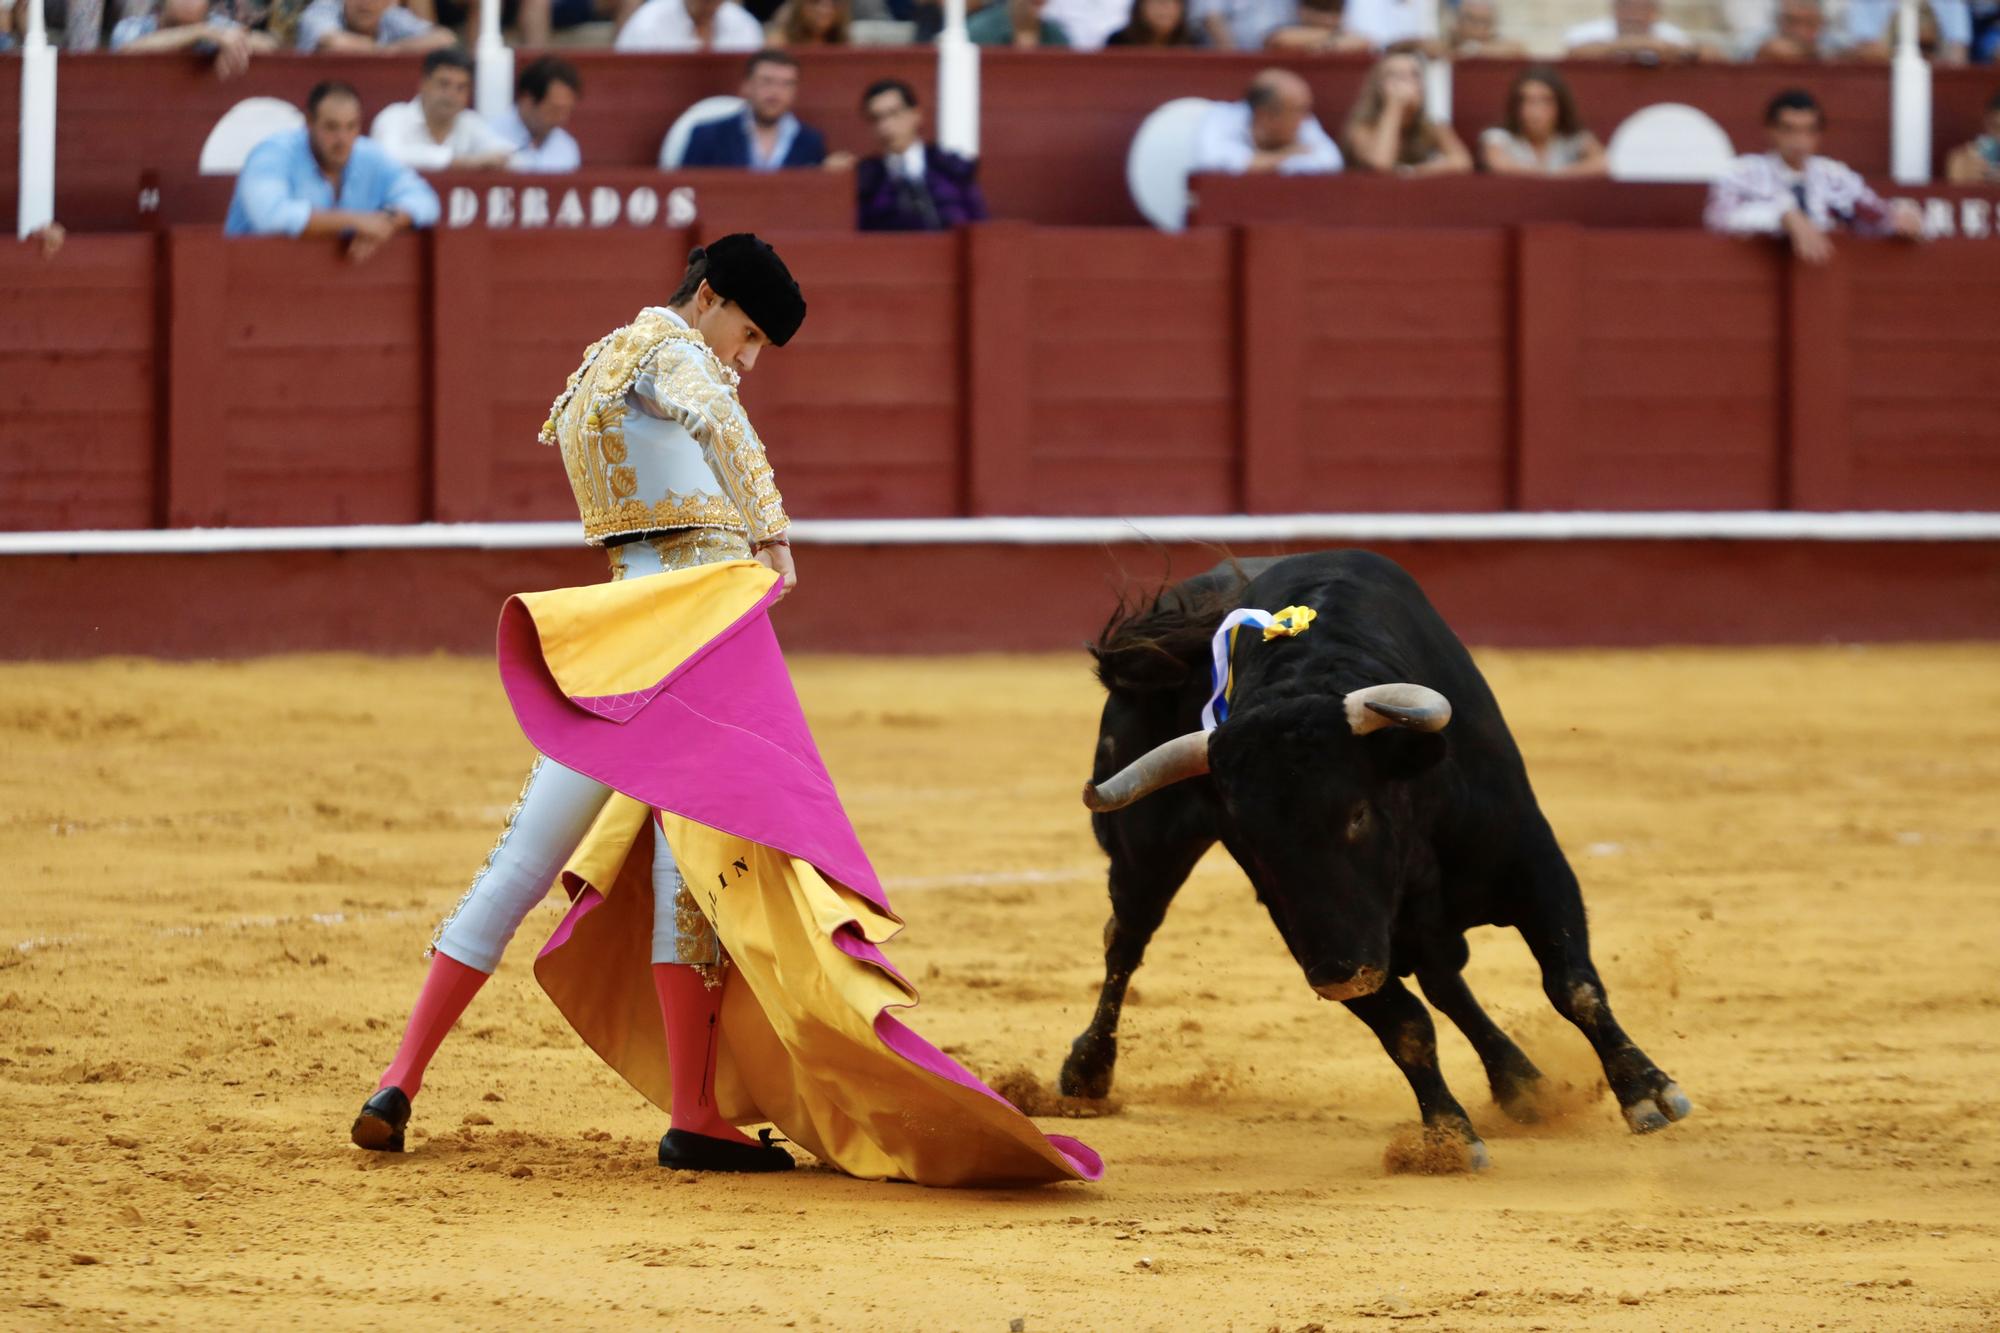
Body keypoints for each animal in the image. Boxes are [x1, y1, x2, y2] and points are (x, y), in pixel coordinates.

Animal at [1064, 548, 1688, 1160]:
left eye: (1358, 813)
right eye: (1252, 837)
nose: (1341, 977)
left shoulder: (1534, 864)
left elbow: (1572, 986)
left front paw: (1647, 1093)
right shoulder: (1311, 932)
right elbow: (1404, 1026)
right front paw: (1449, 1135)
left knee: (1447, 981)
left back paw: (1523, 1085)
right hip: (1145, 851)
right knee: (1126, 940)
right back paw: (1086, 1074)